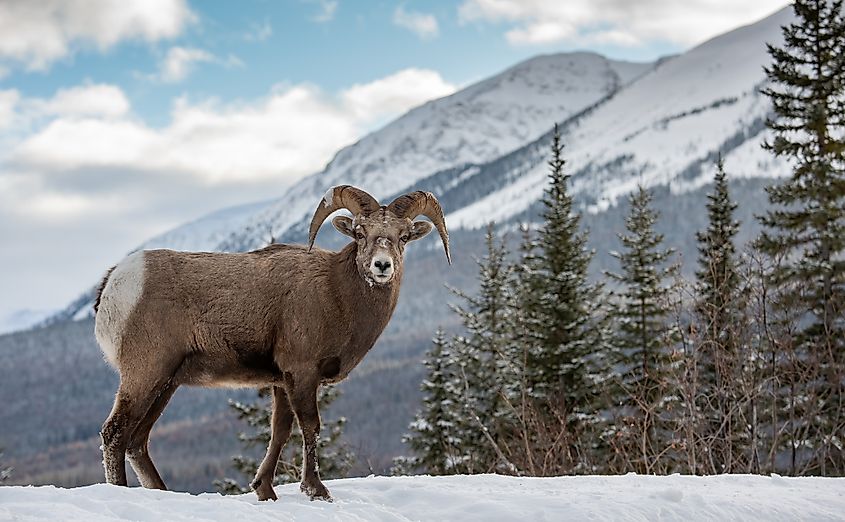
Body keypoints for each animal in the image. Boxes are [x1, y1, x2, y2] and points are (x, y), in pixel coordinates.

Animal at [94, 186, 448, 500]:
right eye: (360, 233)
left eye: (404, 236)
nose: (382, 266)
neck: (337, 294)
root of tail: (115, 282)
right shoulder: (302, 373)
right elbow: (310, 426)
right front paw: (316, 490)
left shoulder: (282, 381)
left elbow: (280, 431)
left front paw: (264, 489)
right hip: (145, 374)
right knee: (115, 434)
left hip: (167, 383)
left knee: (137, 441)